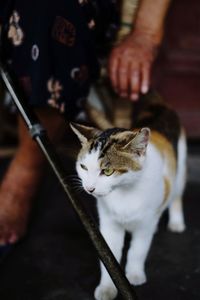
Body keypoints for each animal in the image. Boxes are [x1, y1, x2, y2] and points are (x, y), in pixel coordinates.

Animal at [70, 89, 186, 300]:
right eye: (83, 167)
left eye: (107, 171)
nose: (89, 188)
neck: (123, 193)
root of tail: (158, 104)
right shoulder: (109, 225)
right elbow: (110, 257)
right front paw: (107, 287)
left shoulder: (145, 223)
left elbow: (138, 250)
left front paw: (134, 274)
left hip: (179, 167)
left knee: (176, 195)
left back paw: (176, 222)